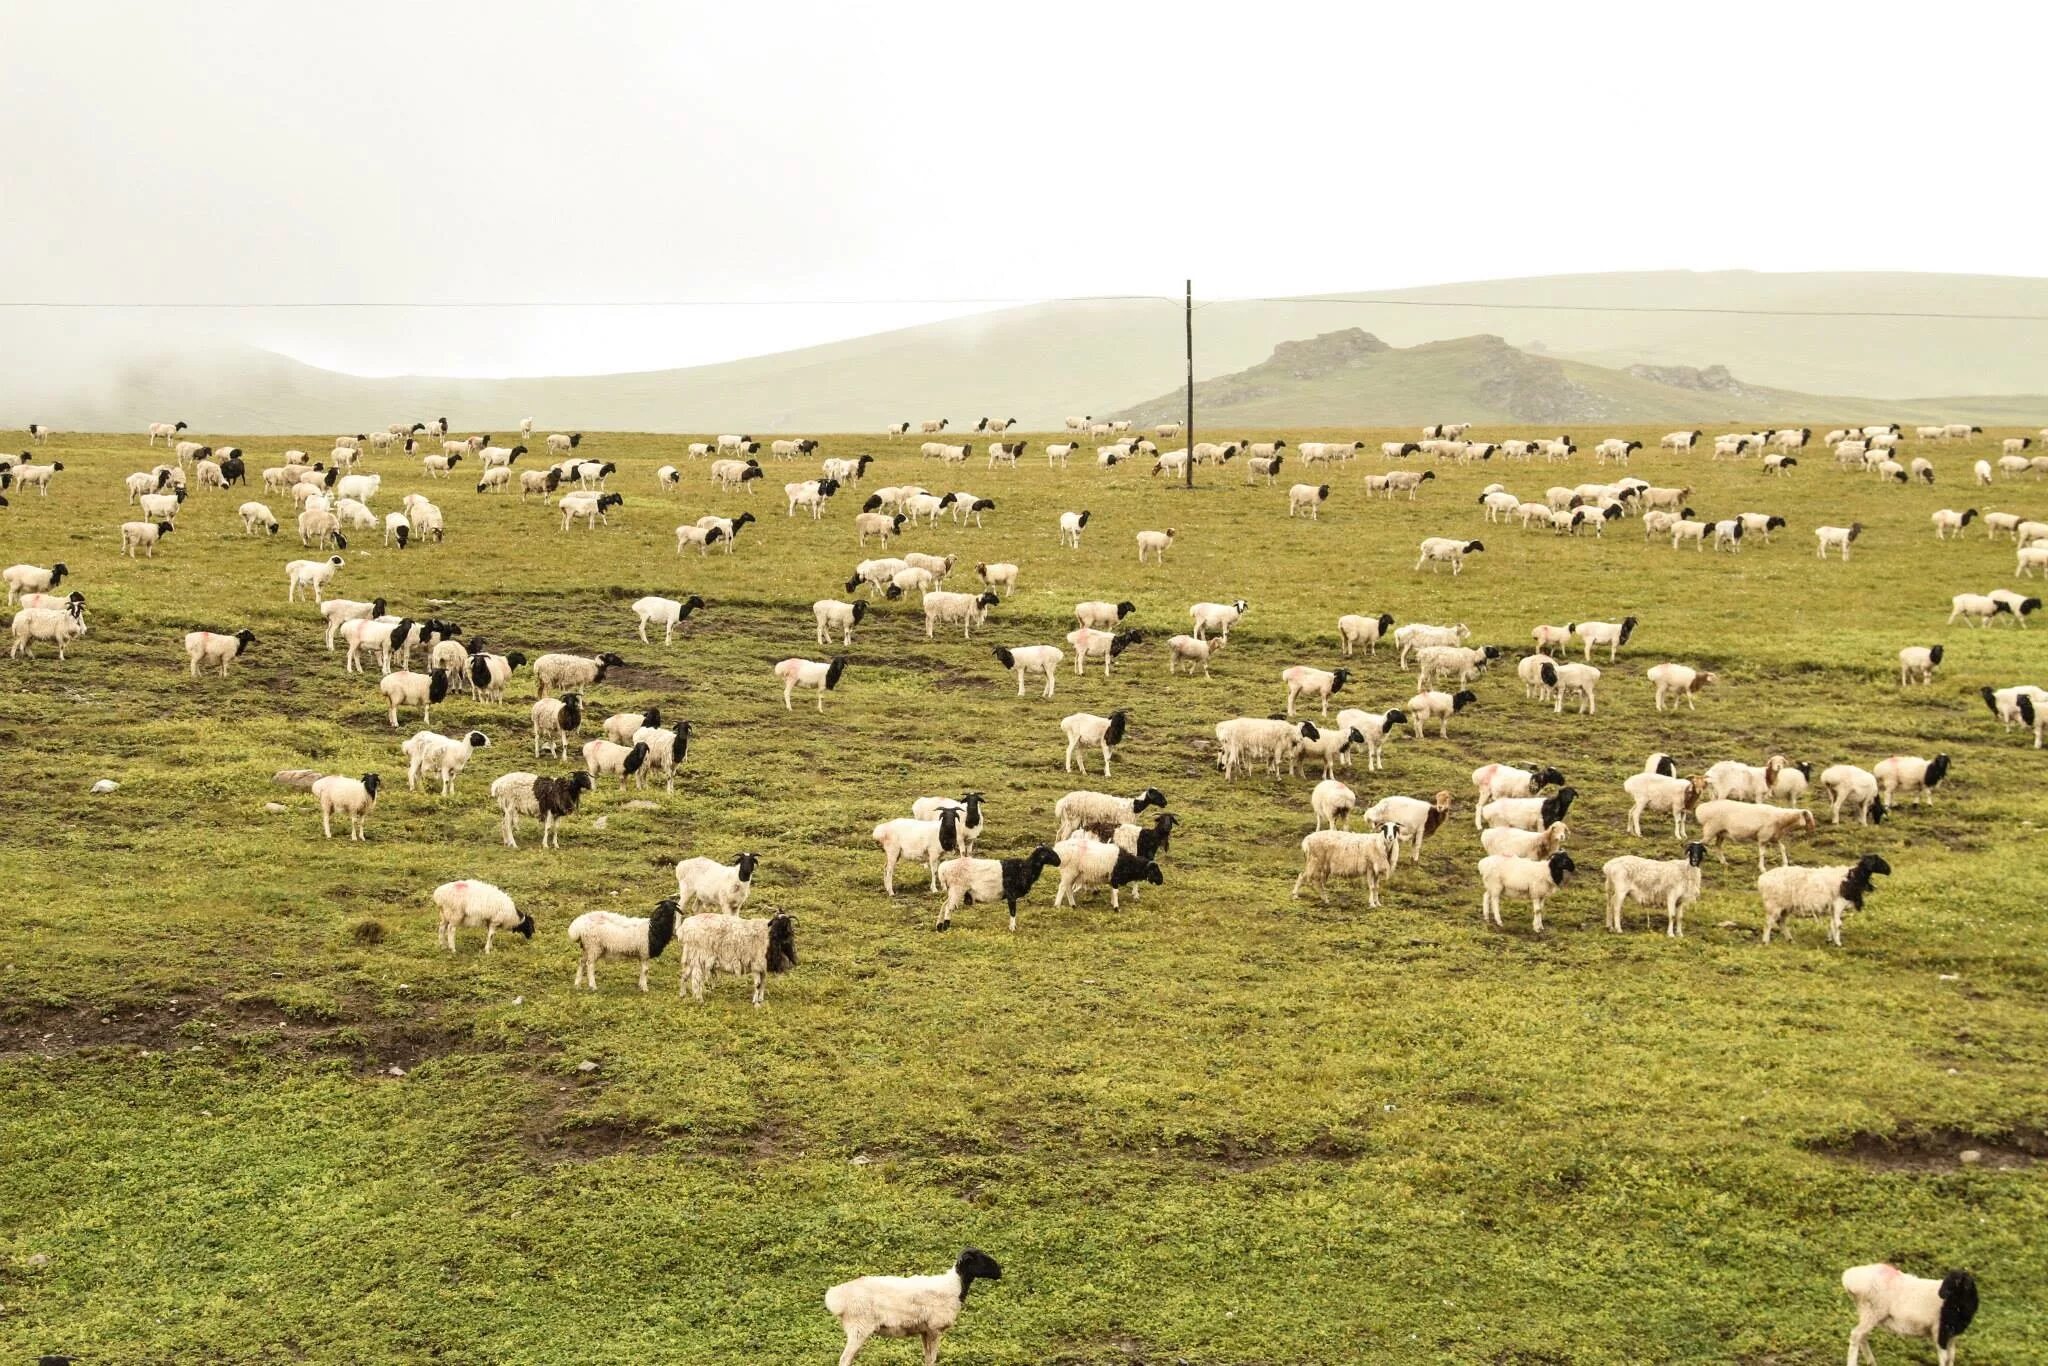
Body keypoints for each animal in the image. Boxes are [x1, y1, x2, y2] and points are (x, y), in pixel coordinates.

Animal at [1687, 794, 1818, 872]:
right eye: (1808, 818)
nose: (1813, 830)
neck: (1781, 820)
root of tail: (1702, 808)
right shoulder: (1763, 838)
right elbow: (1762, 853)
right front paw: (1762, 868)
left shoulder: (1774, 838)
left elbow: (1783, 848)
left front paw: (1785, 864)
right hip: (1710, 829)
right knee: (1698, 843)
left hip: (1721, 832)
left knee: (1717, 846)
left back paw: (1724, 862)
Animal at [1753, 847, 1892, 946]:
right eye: (1878, 861)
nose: (1889, 870)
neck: (1852, 877)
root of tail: (1762, 880)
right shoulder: (1838, 904)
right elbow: (1838, 923)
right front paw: (1838, 943)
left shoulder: (1833, 907)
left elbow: (1832, 923)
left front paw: (1830, 940)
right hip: (1774, 904)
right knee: (1769, 923)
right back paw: (1765, 942)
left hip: (1785, 906)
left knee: (1781, 922)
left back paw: (1790, 940)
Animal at [1843, 1261, 1982, 1366]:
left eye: (1957, 1281)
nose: (1940, 1294)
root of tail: (1850, 1278)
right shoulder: (1939, 1330)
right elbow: (1945, 1357)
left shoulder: (1952, 1334)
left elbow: (1951, 1356)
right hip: (1873, 1311)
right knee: (1856, 1335)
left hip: (1868, 1313)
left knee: (1862, 1336)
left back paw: (1871, 1362)